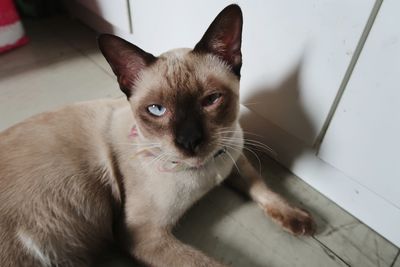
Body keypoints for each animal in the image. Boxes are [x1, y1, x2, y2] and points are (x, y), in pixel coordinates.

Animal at [0, 4, 316, 267]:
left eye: (211, 100)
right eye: (156, 109)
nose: (190, 141)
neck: (206, 172)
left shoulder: (232, 153)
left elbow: (260, 186)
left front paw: (298, 219)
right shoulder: (144, 235)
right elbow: (212, 264)